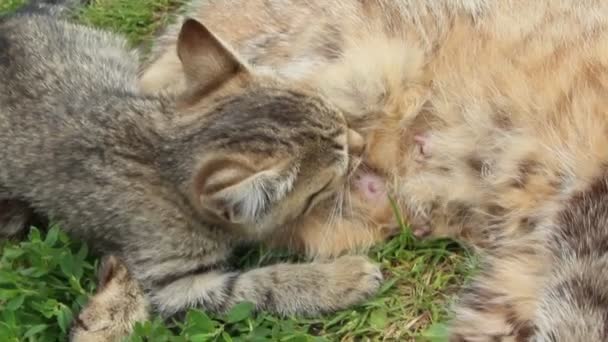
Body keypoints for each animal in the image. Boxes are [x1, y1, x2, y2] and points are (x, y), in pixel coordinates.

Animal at [0, 0, 380, 324]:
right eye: (333, 177)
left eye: (340, 115)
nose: (364, 143)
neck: (163, 152)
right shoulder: (178, 286)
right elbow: (261, 285)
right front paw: (340, 277)